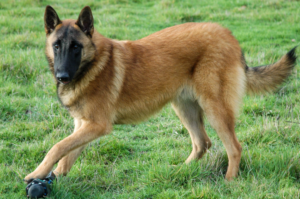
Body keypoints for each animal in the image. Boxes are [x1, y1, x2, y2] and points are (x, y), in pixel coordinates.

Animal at [24, 5, 296, 183]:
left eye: (76, 47)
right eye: (56, 46)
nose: (62, 77)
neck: (92, 64)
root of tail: (229, 36)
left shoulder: (96, 125)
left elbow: (57, 147)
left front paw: (36, 174)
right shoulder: (84, 124)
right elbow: (67, 154)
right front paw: (54, 177)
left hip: (215, 108)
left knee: (234, 147)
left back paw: (229, 182)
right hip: (184, 108)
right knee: (202, 143)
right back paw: (180, 171)